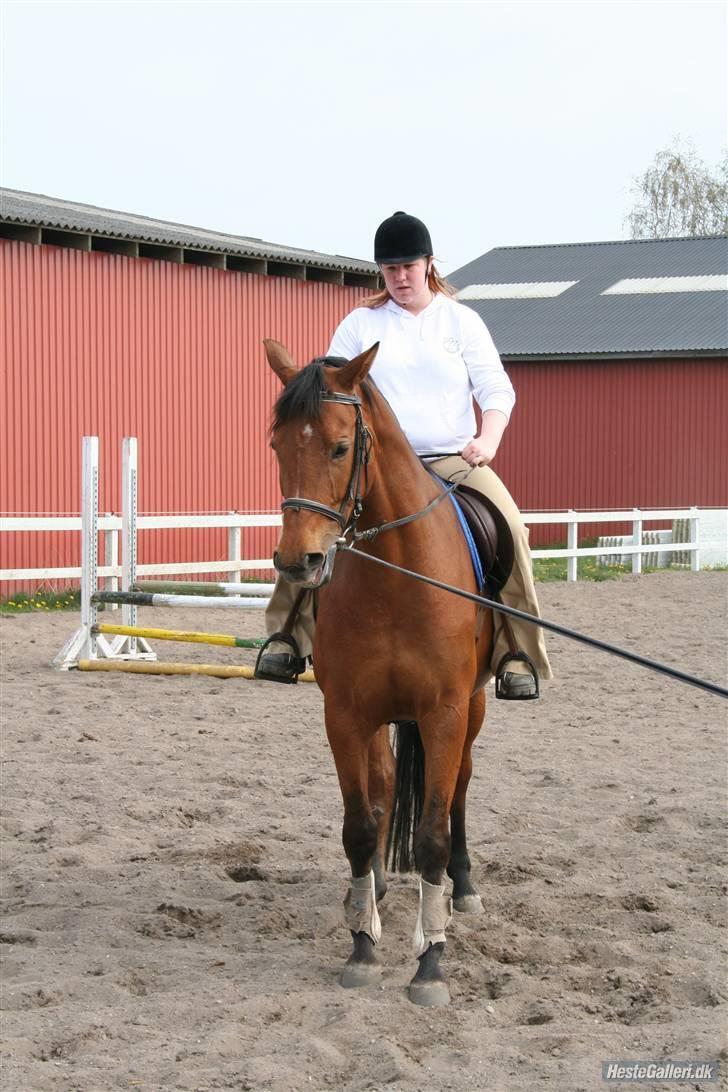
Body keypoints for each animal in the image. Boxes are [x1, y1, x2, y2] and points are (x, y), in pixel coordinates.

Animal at [265, 338, 497, 1004]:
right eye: (278, 445)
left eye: (341, 446)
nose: (298, 560)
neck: (399, 576)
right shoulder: (345, 714)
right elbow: (360, 827)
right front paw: (363, 947)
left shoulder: (444, 712)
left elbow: (433, 833)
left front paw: (431, 962)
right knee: (386, 784)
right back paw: (373, 892)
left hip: (472, 710)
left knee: (460, 789)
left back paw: (462, 890)